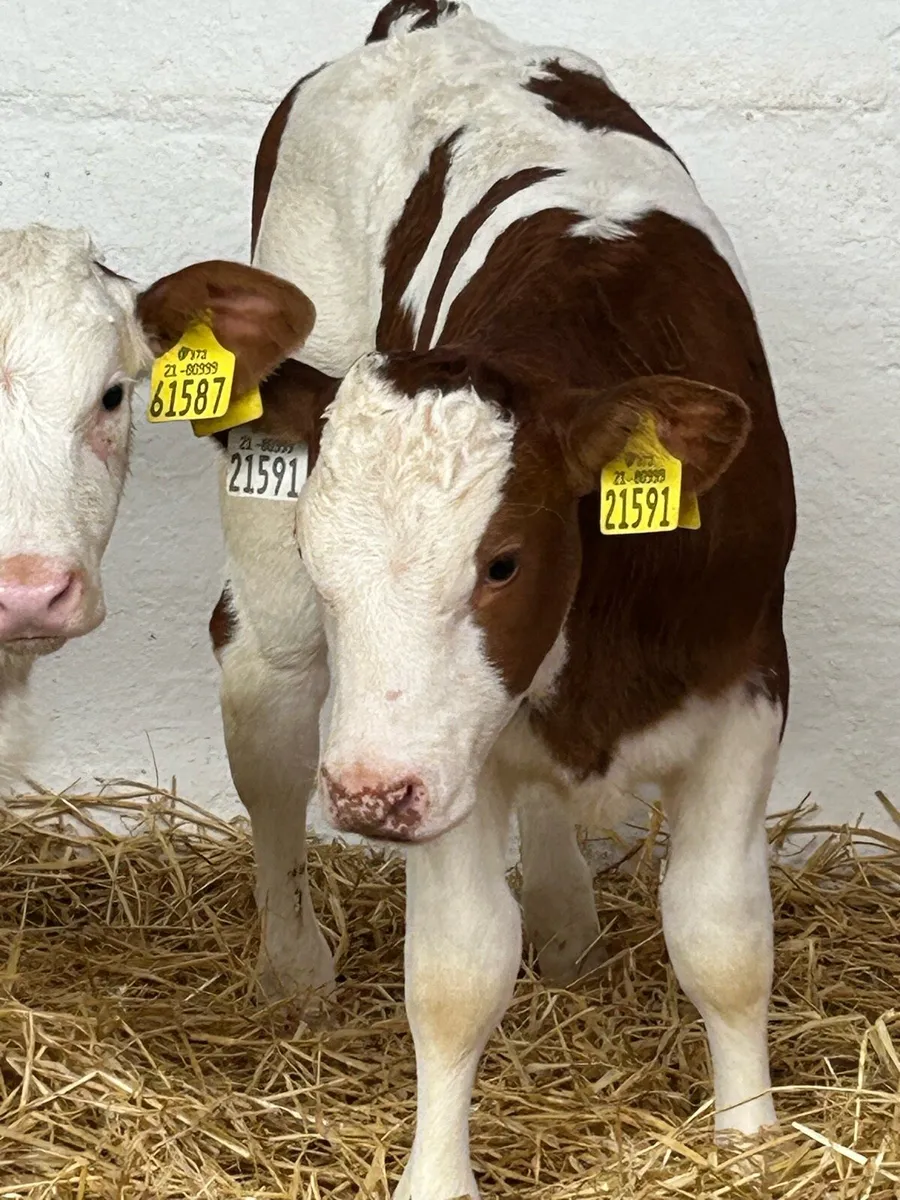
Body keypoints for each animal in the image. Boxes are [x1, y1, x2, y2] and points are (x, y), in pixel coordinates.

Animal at [137, 3, 795, 1196]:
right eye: (324, 553)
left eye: (503, 563)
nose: (367, 794)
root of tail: (427, 22)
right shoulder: (444, 767)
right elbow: (456, 974)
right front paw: (436, 1176)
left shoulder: (745, 685)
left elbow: (721, 940)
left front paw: (749, 1139)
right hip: (279, 612)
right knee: (267, 729)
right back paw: (295, 964)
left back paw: (567, 923)